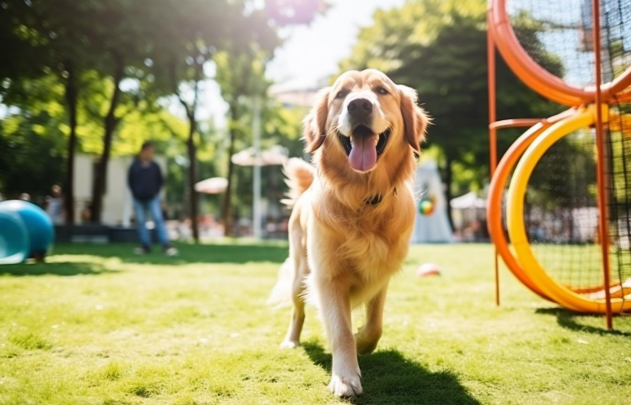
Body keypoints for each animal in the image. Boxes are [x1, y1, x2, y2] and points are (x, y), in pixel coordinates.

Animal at [268, 68, 430, 394]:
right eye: (340, 94)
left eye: (382, 91)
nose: (359, 105)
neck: (363, 199)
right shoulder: (327, 277)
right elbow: (340, 330)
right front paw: (345, 377)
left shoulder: (382, 272)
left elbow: (375, 324)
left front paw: (363, 342)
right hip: (299, 273)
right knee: (297, 311)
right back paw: (291, 341)